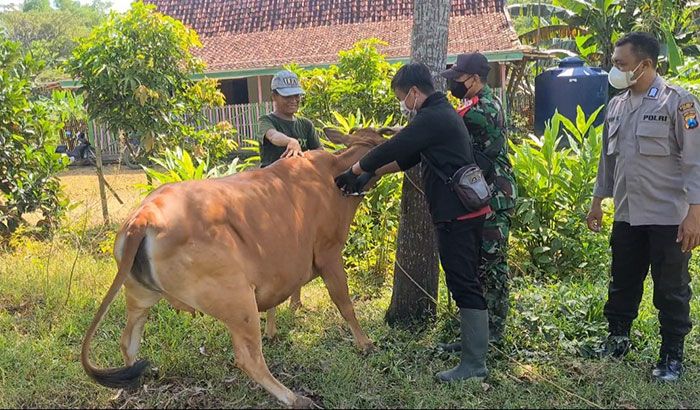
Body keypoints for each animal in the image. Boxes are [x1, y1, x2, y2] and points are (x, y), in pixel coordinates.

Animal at [80, 127, 394, 406]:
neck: (333, 175)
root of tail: (144, 216)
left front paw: (275, 328)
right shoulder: (329, 255)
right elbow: (345, 303)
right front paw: (365, 343)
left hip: (140, 296)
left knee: (128, 342)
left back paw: (140, 382)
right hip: (237, 299)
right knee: (248, 358)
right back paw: (294, 398)